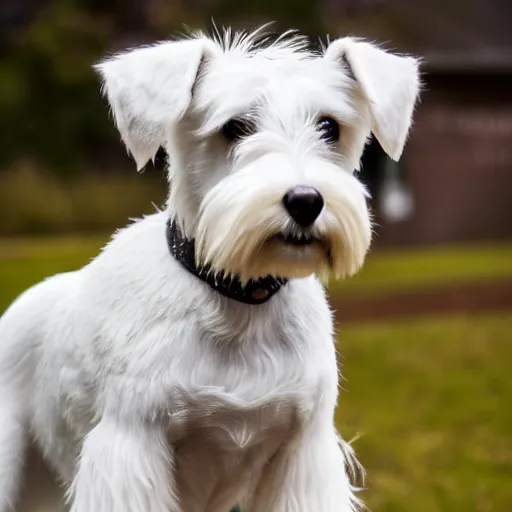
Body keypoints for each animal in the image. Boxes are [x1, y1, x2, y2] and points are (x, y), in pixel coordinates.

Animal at [0, 27, 420, 512]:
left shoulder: (301, 457)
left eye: (329, 126)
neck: (239, 300)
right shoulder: (131, 449)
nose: (305, 201)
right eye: (234, 126)